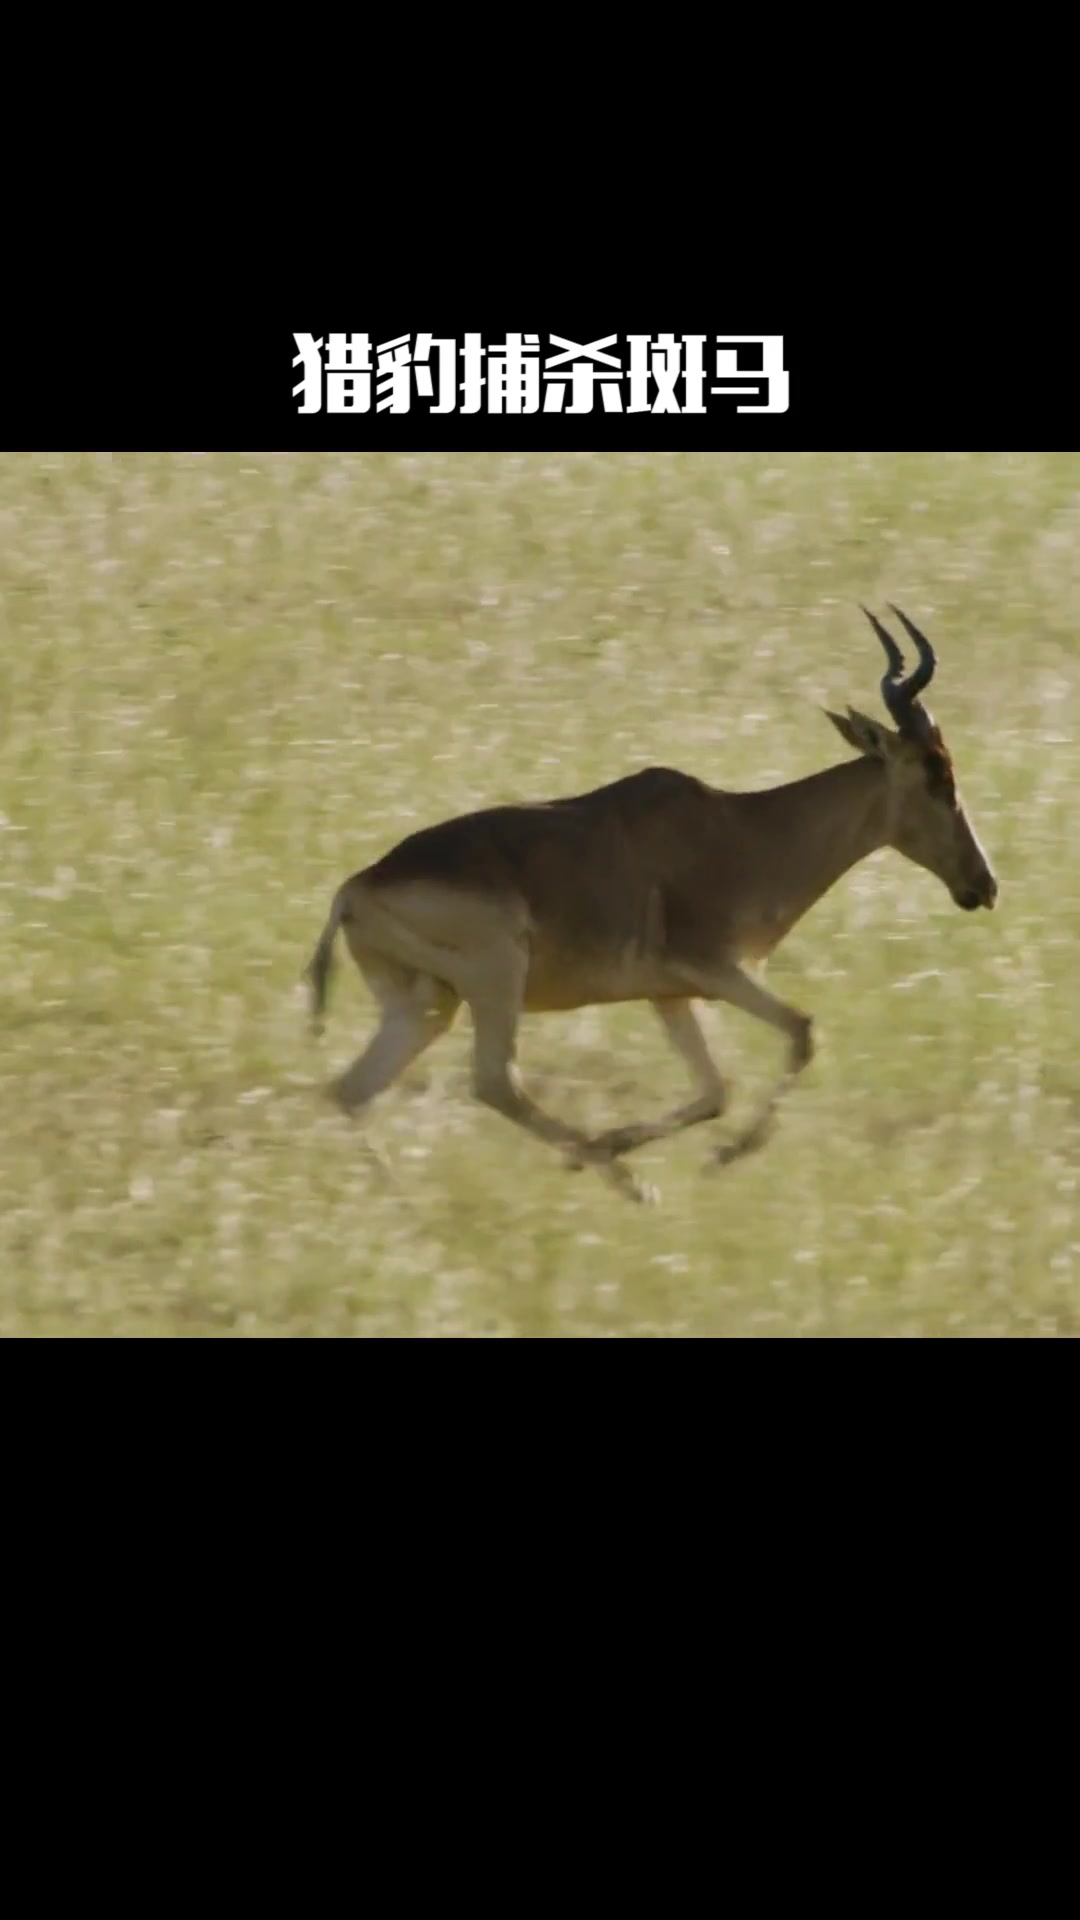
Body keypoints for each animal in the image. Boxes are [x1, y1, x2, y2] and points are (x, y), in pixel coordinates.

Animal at [303, 606, 991, 1198]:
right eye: (936, 774)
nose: (983, 887)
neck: (743, 828)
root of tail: (356, 887)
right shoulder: (714, 968)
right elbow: (801, 1032)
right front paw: (720, 1157)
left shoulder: (671, 994)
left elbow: (716, 1089)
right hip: (495, 976)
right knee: (496, 1083)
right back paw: (622, 1181)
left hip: (425, 1003)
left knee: (350, 1090)